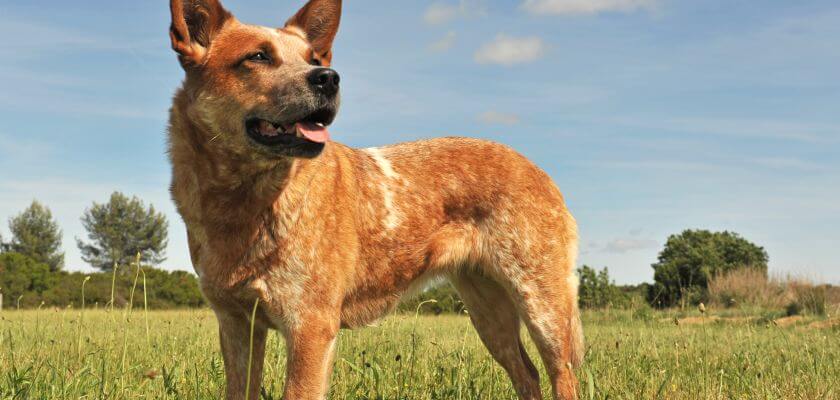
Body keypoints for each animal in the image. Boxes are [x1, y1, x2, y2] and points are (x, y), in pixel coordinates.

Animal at [167, 1, 580, 398]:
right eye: (257, 57)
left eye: (313, 59)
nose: (329, 77)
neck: (243, 202)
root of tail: (539, 171)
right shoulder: (237, 324)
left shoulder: (310, 327)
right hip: (487, 310)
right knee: (527, 375)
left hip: (542, 305)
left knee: (561, 375)